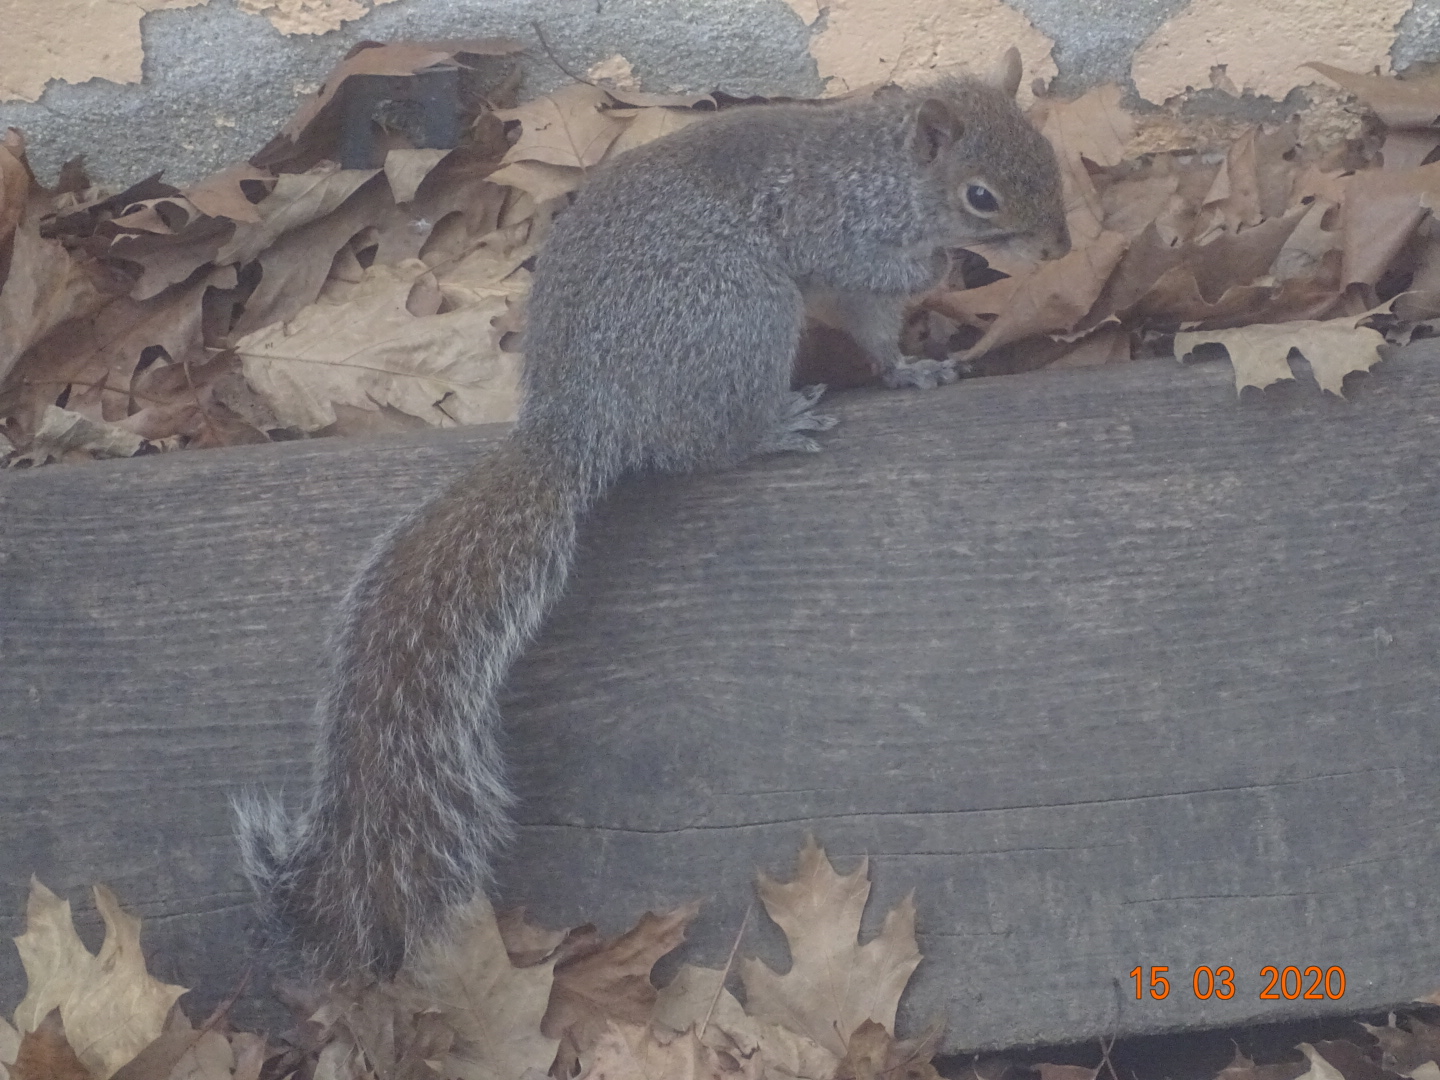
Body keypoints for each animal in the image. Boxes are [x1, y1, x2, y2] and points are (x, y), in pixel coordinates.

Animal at [233, 67, 1070, 982]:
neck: (884, 171)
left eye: (1048, 152)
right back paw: (774, 426)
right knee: (708, 444)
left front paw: (920, 354)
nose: (1060, 247)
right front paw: (927, 314)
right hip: (741, 310)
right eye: (981, 196)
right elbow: (876, 299)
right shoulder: (842, 241)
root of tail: (579, 413)